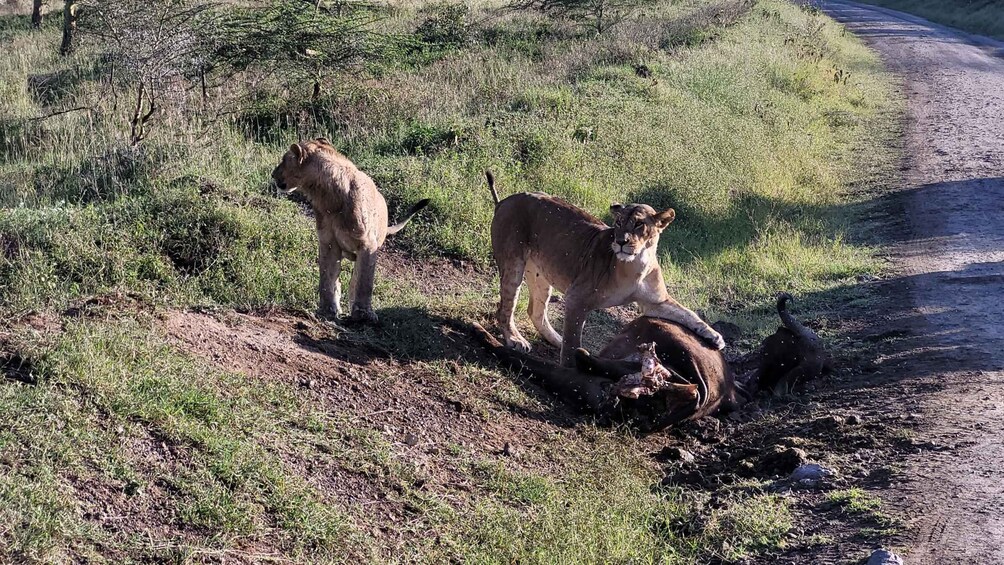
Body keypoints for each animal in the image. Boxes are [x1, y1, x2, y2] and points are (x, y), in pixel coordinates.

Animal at [273, 138, 429, 323]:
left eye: (284, 160)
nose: (273, 174)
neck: (327, 195)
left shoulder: (367, 244)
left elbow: (363, 281)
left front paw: (363, 314)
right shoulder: (328, 242)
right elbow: (327, 278)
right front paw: (327, 311)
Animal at [483, 172, 722, 367]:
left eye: (639, 224)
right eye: (618, 223)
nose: (621, 241)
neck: (637, 265)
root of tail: (505, 201)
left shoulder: (656, 302)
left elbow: (687, 313)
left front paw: (714, 336)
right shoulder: (577, 297)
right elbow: (572, 342)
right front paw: (570, 371)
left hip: (541, 274)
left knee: (536, 311)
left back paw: (556, 339)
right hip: (514, 264)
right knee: (504, 308)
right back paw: (515, 339)